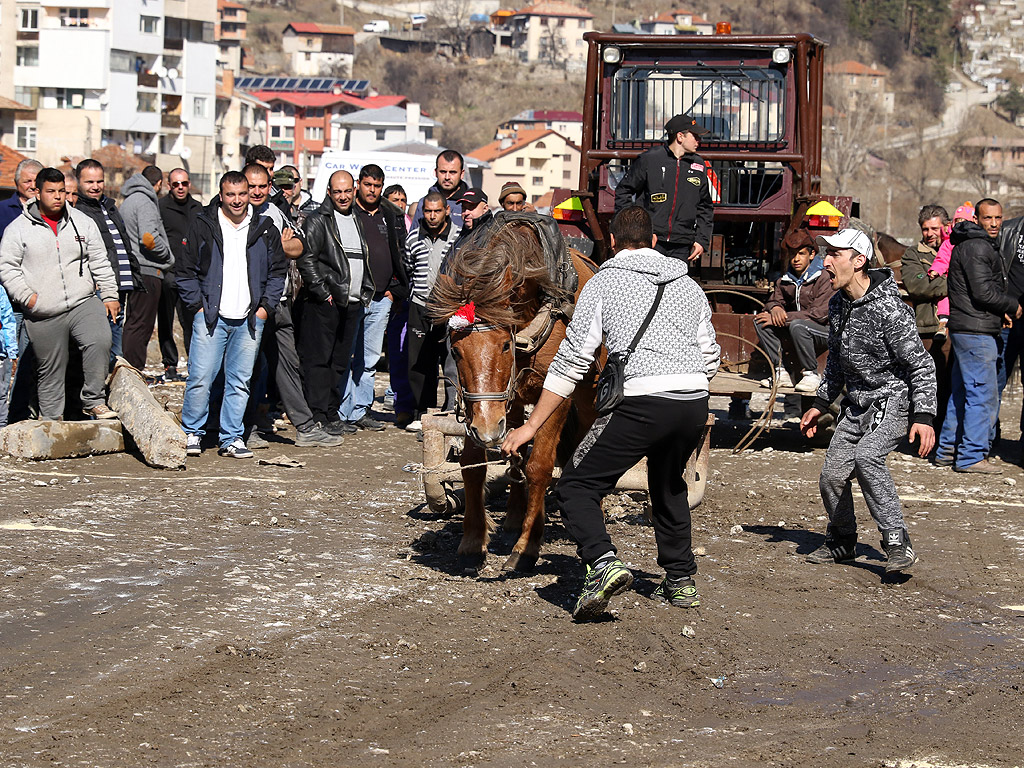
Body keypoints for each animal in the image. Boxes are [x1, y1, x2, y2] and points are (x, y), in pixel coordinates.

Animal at [430, 221, 598, 573]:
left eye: (504, 345)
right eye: (456, 350)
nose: (488, 429)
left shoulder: (556, 394)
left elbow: (540, 466)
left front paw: (527, 546)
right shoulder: (483, 408)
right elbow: (472, 464)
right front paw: (473, 539)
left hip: (585, 392)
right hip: (512, 403)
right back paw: (513, 515)